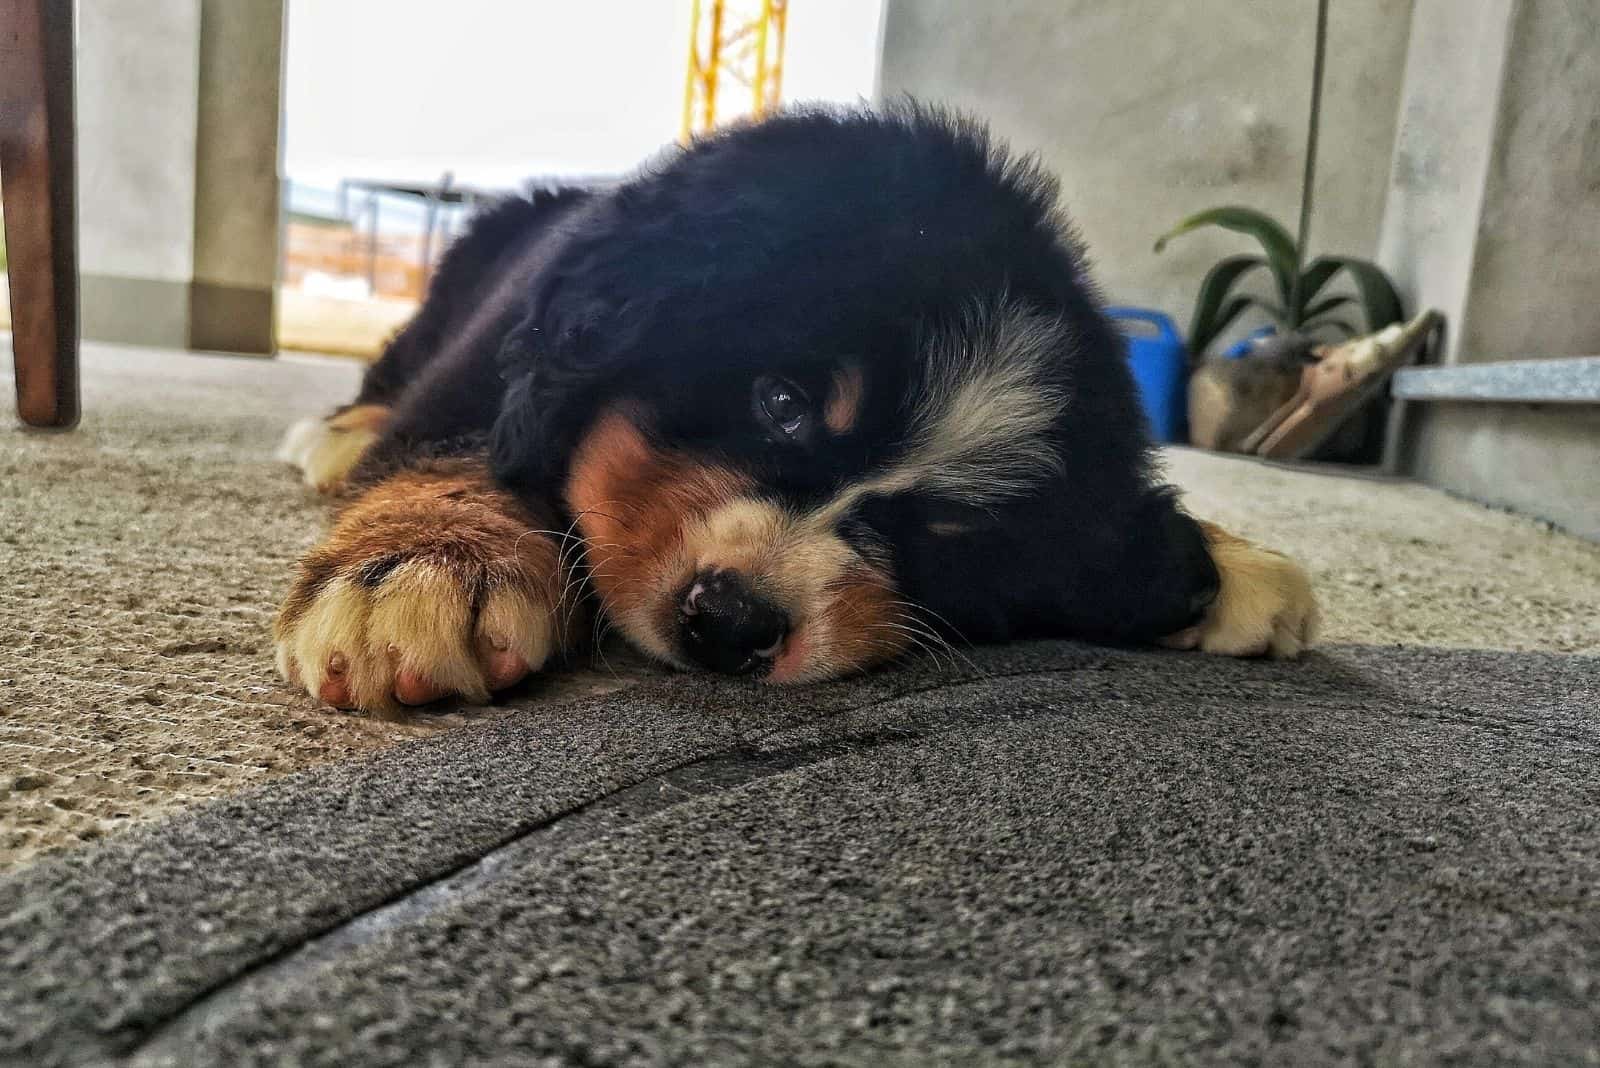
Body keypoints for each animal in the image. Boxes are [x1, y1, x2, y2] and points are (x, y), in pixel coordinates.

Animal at [278, 103, 1324, 713]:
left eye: (946, 534)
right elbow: (455, 450)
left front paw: (1228, 562)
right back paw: (334, 436)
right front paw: (417, 571)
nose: (732, 623)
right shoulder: (486, 365)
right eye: (781, 401)